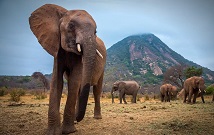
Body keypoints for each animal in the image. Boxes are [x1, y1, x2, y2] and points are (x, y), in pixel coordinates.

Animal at [29, 3, 107, 134]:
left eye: (95, 31)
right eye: (71, 26)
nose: (78, 119)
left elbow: (74, 81)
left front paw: (69, 131)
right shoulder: (57, 48)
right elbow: (57, 81)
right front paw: (53, 132)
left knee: (97, 89)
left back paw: (96, 117)